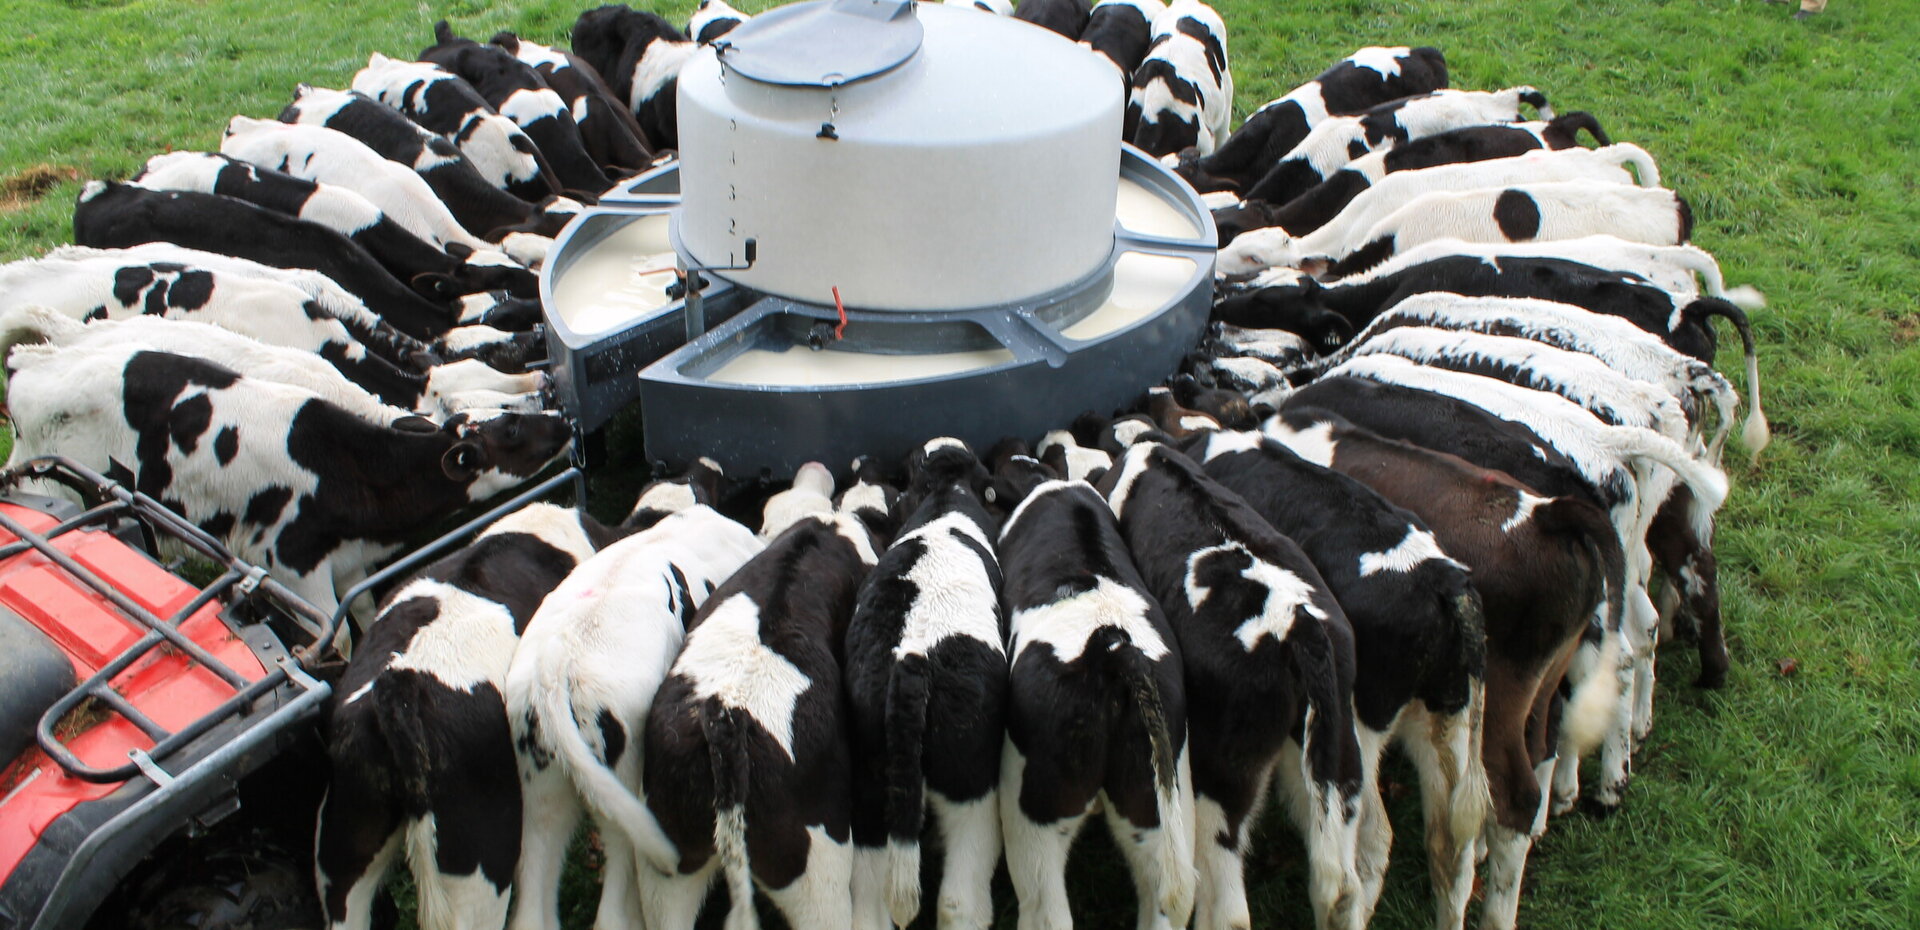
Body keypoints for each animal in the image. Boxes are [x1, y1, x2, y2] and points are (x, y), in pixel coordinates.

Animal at [3, 343, 571, 624]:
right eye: (510, 430)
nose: (562, 420)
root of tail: (34, 361)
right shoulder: (295, 572)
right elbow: (334, 638)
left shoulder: (349, 565)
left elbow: (362, 612)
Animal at [843, 439, 1006, 930]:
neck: (945, 492)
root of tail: (910, 660)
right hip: (968, 779)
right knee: (959, 899)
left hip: (873, 776)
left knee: (868, 893)